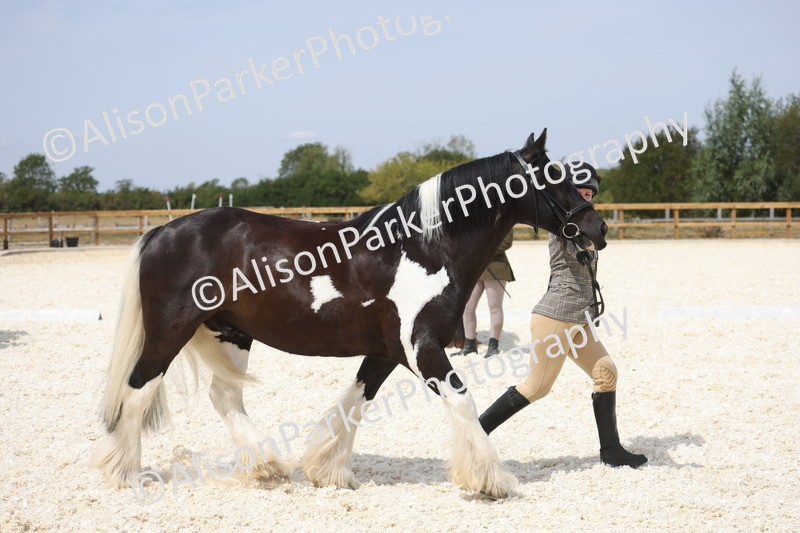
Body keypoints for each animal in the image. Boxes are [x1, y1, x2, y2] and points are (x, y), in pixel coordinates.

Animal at [92, 129, 607, 498]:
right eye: (553, 177)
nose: (597, 228)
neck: (422, 248)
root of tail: (161, 232)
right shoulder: (422, 349)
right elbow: (462, 401)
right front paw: (491, 480)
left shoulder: (385, 352)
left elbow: (356, 402)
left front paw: (328, 471)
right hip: (170, 331)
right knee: (137, 391)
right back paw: (124, 473)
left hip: (230, 333)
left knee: (225, 397)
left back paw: (264, 466)